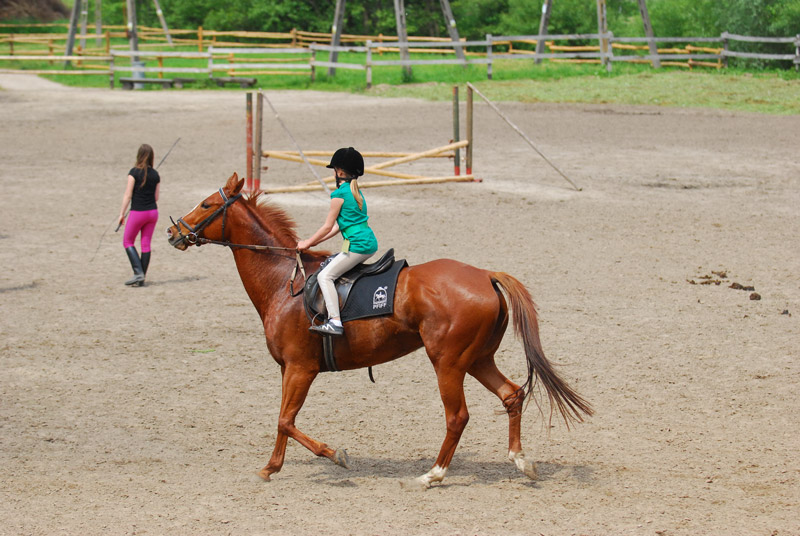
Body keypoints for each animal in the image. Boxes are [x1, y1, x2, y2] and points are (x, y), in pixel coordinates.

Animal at [166, 174, 592, 488]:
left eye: (206, 204)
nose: (174, 233)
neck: (284, 283)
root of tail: (485, 274)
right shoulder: (290, 369)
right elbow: (283, 420)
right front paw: (272, 466)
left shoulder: (301, 368)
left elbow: (286, 420)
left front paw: (336, 456)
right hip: (477, 359)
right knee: (511, 396)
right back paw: (521, 462)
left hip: (448, 363)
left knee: (458, 416)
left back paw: (433, 474)